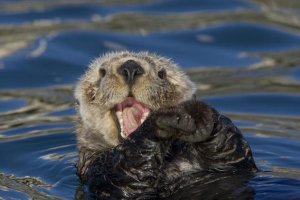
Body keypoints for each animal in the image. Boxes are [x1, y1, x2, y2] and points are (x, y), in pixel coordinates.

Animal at [74, 51, 256, 198]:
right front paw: (161, 121)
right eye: (102, 72)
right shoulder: (97, 170)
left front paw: (198, 111)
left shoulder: (234, 164)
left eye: (162, 73)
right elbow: (127, 173)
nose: (131, 67)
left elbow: (233, 153)